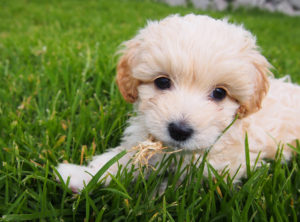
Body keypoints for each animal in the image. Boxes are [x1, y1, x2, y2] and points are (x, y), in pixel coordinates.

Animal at [55, 13, 300, 192]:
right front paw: (80, 176)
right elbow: (122, 159)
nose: (180, 131)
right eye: (162, 82)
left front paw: (158, 194)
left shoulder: (223, 168)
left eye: (219, 93)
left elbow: (185, 185)